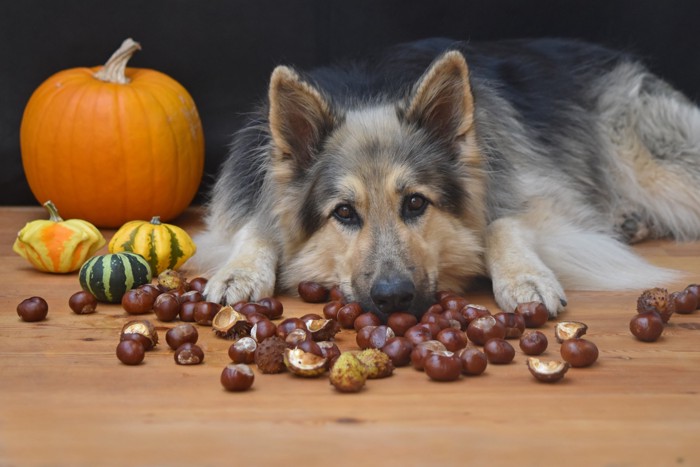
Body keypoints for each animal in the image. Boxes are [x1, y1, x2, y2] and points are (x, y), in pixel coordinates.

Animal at [194, 38, 700, 322]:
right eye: (344, 213)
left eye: (416, 204)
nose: (394, 298)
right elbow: (254, 227)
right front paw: (240, 270)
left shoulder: (540, 196)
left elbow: (502, 223)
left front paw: (524, 275)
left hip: (662, 168)